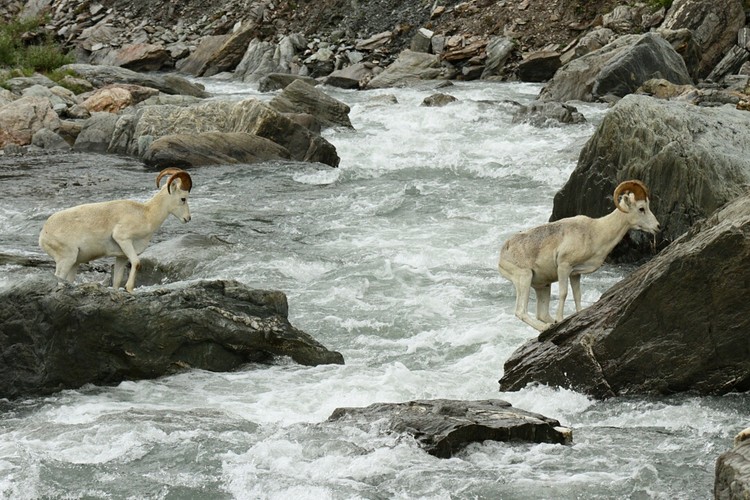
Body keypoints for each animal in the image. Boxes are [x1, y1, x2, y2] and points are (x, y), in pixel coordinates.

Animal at [39, 167, 193, 292]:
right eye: (183, 199)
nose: (188, 218)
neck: (146, 215)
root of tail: (43, 235)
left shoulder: (121, 257)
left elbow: (117, 281)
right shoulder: (123, 239)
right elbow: (136, 263)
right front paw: (129, 288)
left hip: (74, 264)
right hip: (66, 260)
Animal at [498, 180, 660, 331]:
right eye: (641, 208)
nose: (657, 227)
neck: (596, 231)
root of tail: (502, 255)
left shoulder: (575, 274)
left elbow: (577, 296)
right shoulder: (564, 267)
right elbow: (564, 293)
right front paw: (560, 320)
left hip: (543, 286)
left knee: (541, 314)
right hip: (524, 278)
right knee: (521, 312)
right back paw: (546, 327)